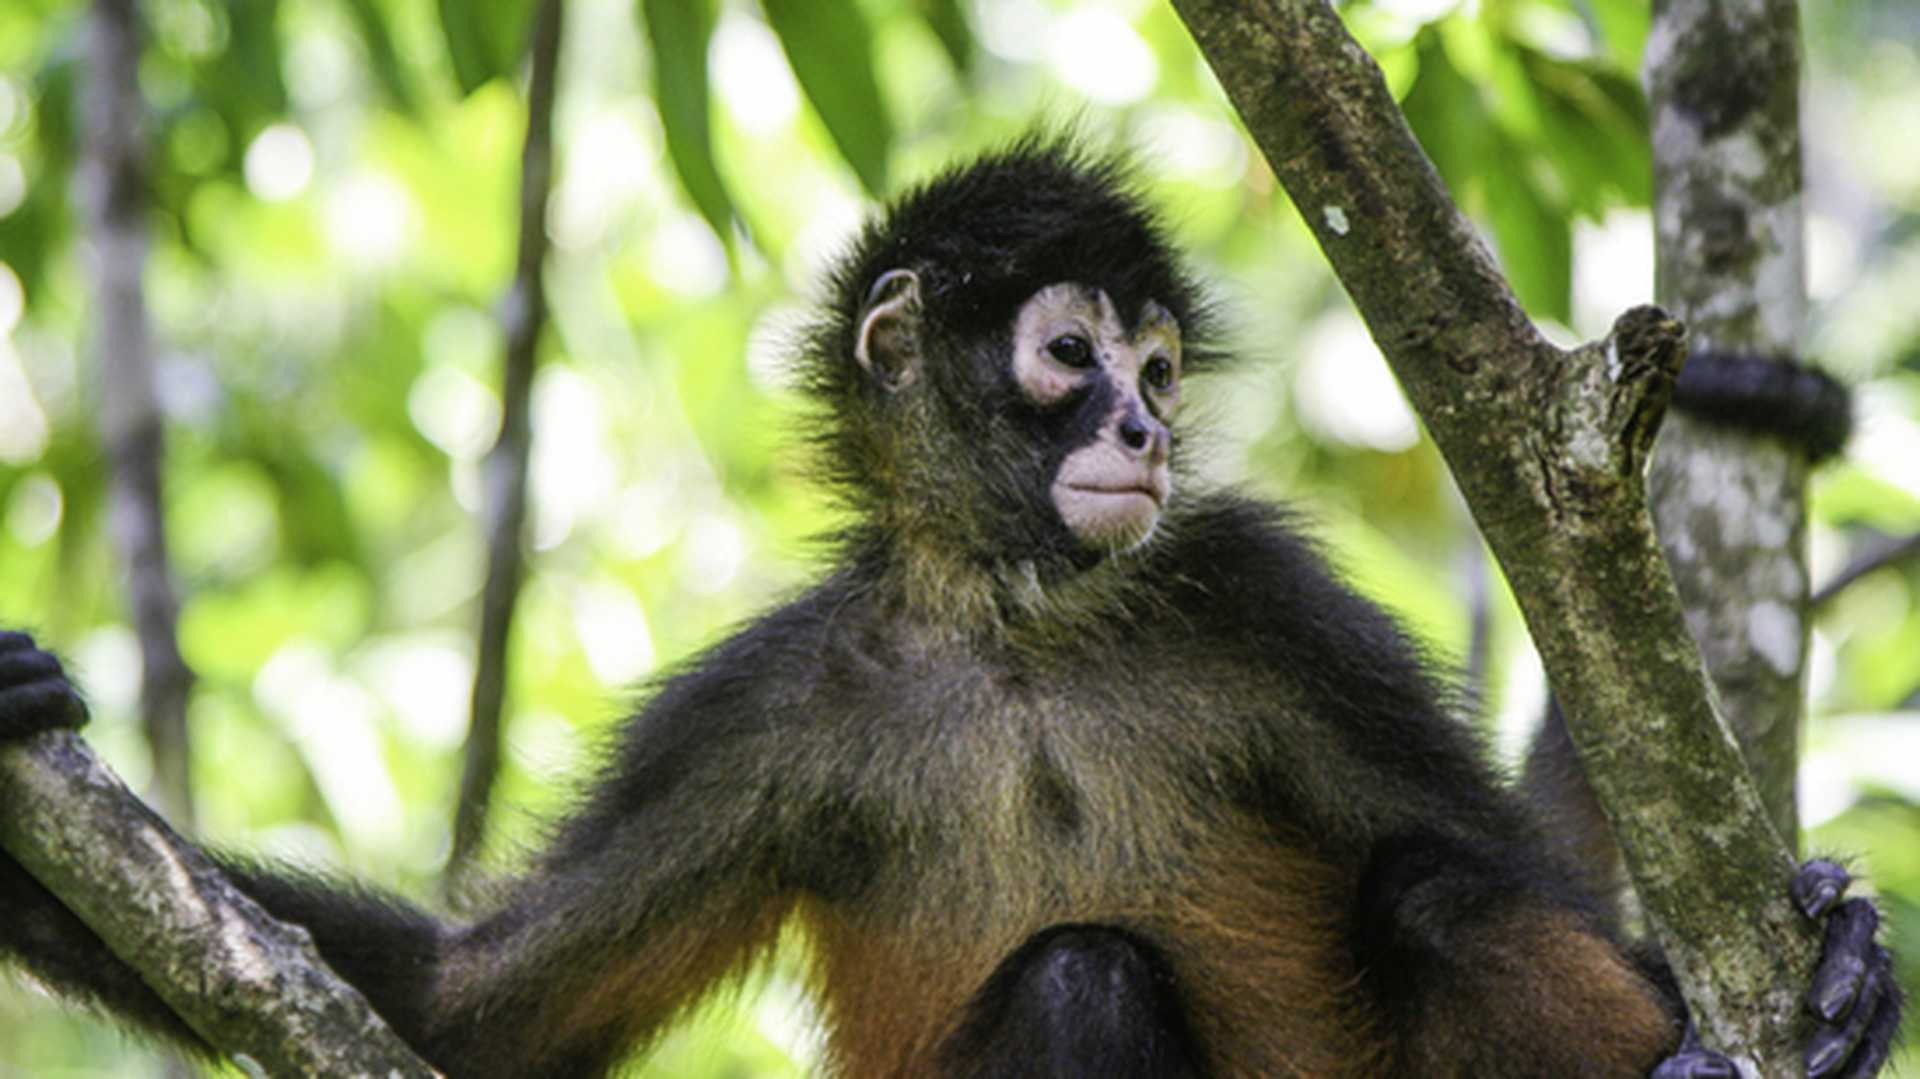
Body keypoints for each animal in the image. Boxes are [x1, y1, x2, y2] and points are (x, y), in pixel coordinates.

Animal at [0, 137, 1902, 1077]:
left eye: (1158, 372)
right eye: (1072, 357)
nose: (1141, 430)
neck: (1014, 638)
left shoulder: (1260, 599)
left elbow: (1525, 864)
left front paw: (1838, 976)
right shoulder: (760, 708)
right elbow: (480, 1013)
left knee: (1434, 888)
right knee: (1084, 976)